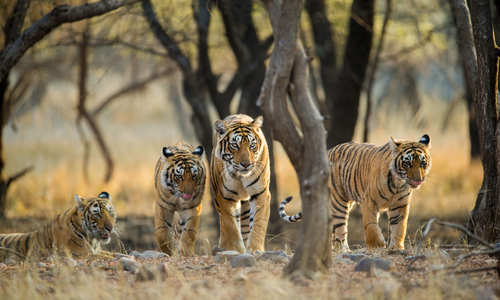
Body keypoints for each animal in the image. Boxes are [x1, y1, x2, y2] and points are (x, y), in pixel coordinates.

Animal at [210, 114, 270, 253]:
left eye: (252, 145)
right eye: (235, 145)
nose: (246, 164)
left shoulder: (260, 193)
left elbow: (258, 222)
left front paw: (255, 249)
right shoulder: (225, 197)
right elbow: (230, 225)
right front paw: (234, 249)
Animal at [280, 135, 432, 250]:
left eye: (422, 163)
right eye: (407, 164)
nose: (418, 180)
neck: (398, 183)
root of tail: (328, 151)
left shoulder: (400, 205)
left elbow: (399, 227)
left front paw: (396, 247)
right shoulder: (369, 201)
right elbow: (371, 225)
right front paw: (378, 245)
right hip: (338, 201)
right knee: (340, 228)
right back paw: (343, 250)